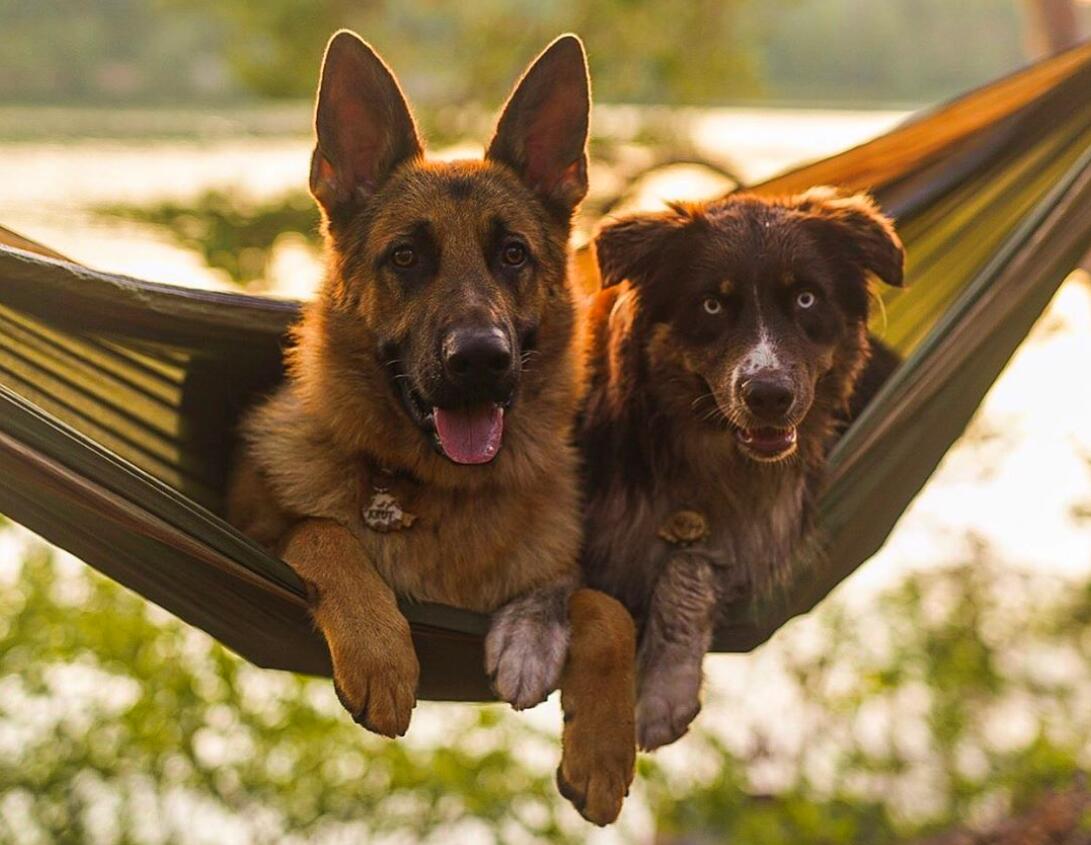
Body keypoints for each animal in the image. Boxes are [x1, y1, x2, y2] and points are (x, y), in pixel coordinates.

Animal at [229, 32, 637, 824]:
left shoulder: (565, 582)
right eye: (407, 256)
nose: (480, 360)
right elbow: (323, 533)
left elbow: (608, 608)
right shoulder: (262, 528)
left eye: (512, 253)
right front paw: (380, 651)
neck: (440, 493)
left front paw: (604, 749)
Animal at [580, 188, 903, 750]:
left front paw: (664, 690)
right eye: (712, 304)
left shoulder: (764, 530)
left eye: (806, 299)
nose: (769, 396)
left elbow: (690, 568)